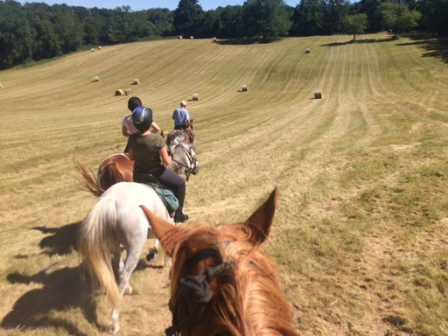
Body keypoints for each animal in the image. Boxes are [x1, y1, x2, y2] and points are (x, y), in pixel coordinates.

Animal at [78, 182, 174, 334]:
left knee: (119, 267)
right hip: (135, 246)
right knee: (124, 273)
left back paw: (126, 289)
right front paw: (167, 263)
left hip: (114, 243)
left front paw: (153, 254)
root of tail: (111, 199)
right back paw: (115, 322)